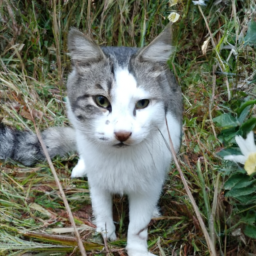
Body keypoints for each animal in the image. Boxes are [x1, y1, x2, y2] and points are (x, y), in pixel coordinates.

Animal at [0, 23, 182, 255]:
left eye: (142, 104)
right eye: (101, 101)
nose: (122, 134)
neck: (119, 159)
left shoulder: (148, 185)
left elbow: (138, 226)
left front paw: (136, 248)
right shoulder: (98, 180)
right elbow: (101, 207)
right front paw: (105, 233)